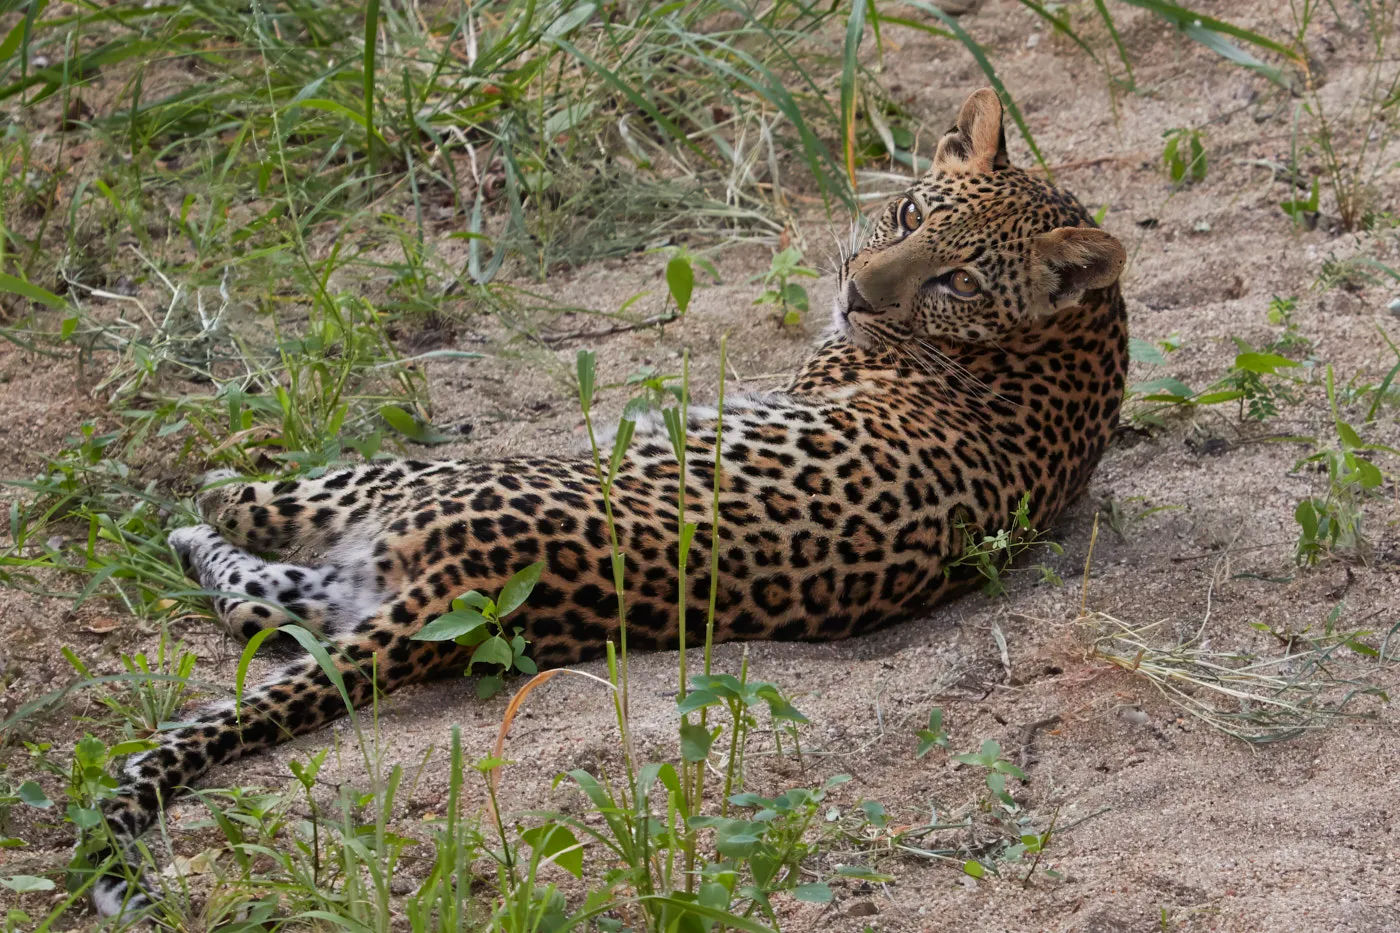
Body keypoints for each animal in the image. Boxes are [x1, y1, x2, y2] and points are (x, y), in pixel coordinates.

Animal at [87, 88, 1128, 916]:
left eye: (959, 280)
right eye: (908, 212)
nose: (858, 293)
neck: (1079, 336)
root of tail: (459, 596)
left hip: (426, 484)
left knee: (257, 515)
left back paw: (172, 508)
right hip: (365, 581)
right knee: (256, 605)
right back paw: (194, 550)